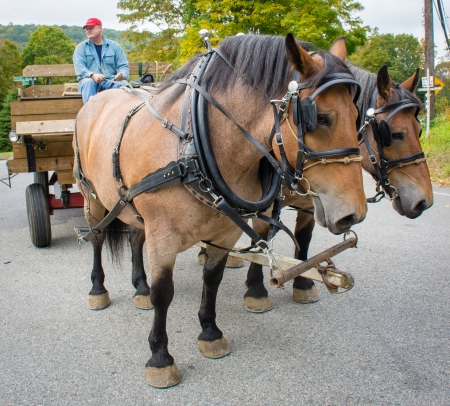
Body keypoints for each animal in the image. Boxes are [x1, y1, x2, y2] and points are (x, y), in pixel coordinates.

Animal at [74, 35, 370, 386]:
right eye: (320, 117)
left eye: (358, 116)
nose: (354, 213)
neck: (193, 147)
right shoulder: (163, 235)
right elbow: (164, 293)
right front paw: (160, 357)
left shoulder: (224, 232)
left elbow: (212, 280)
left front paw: (210, 332)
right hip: (92, 198)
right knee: (96, 239)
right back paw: (98, 289)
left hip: (129, 204)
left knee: (134, 239)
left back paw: (140, 288)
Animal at [243, 41, 436, 310]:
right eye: (395, 135)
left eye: (419, 130)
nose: (424, 201)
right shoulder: (264, 204)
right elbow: (260, 240)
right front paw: (255, 289)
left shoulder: (314, 202)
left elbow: (303, 239)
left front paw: (304, 283)